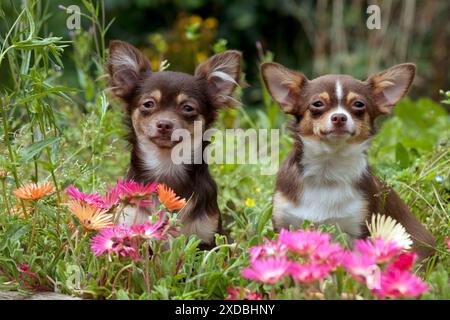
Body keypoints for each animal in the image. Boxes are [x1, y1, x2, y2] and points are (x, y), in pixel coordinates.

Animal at [106, 40, 243, 245]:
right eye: (148, 104)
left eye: (187, 108)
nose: (164, 124)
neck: (166, 165)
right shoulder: (131, 225)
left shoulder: (206, 238)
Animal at [260, 62, 436, 260]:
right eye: (317, 104)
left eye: (358, 104)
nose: (339, 117)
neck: (327, 171)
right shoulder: (283, 224)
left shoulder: (361, 229)